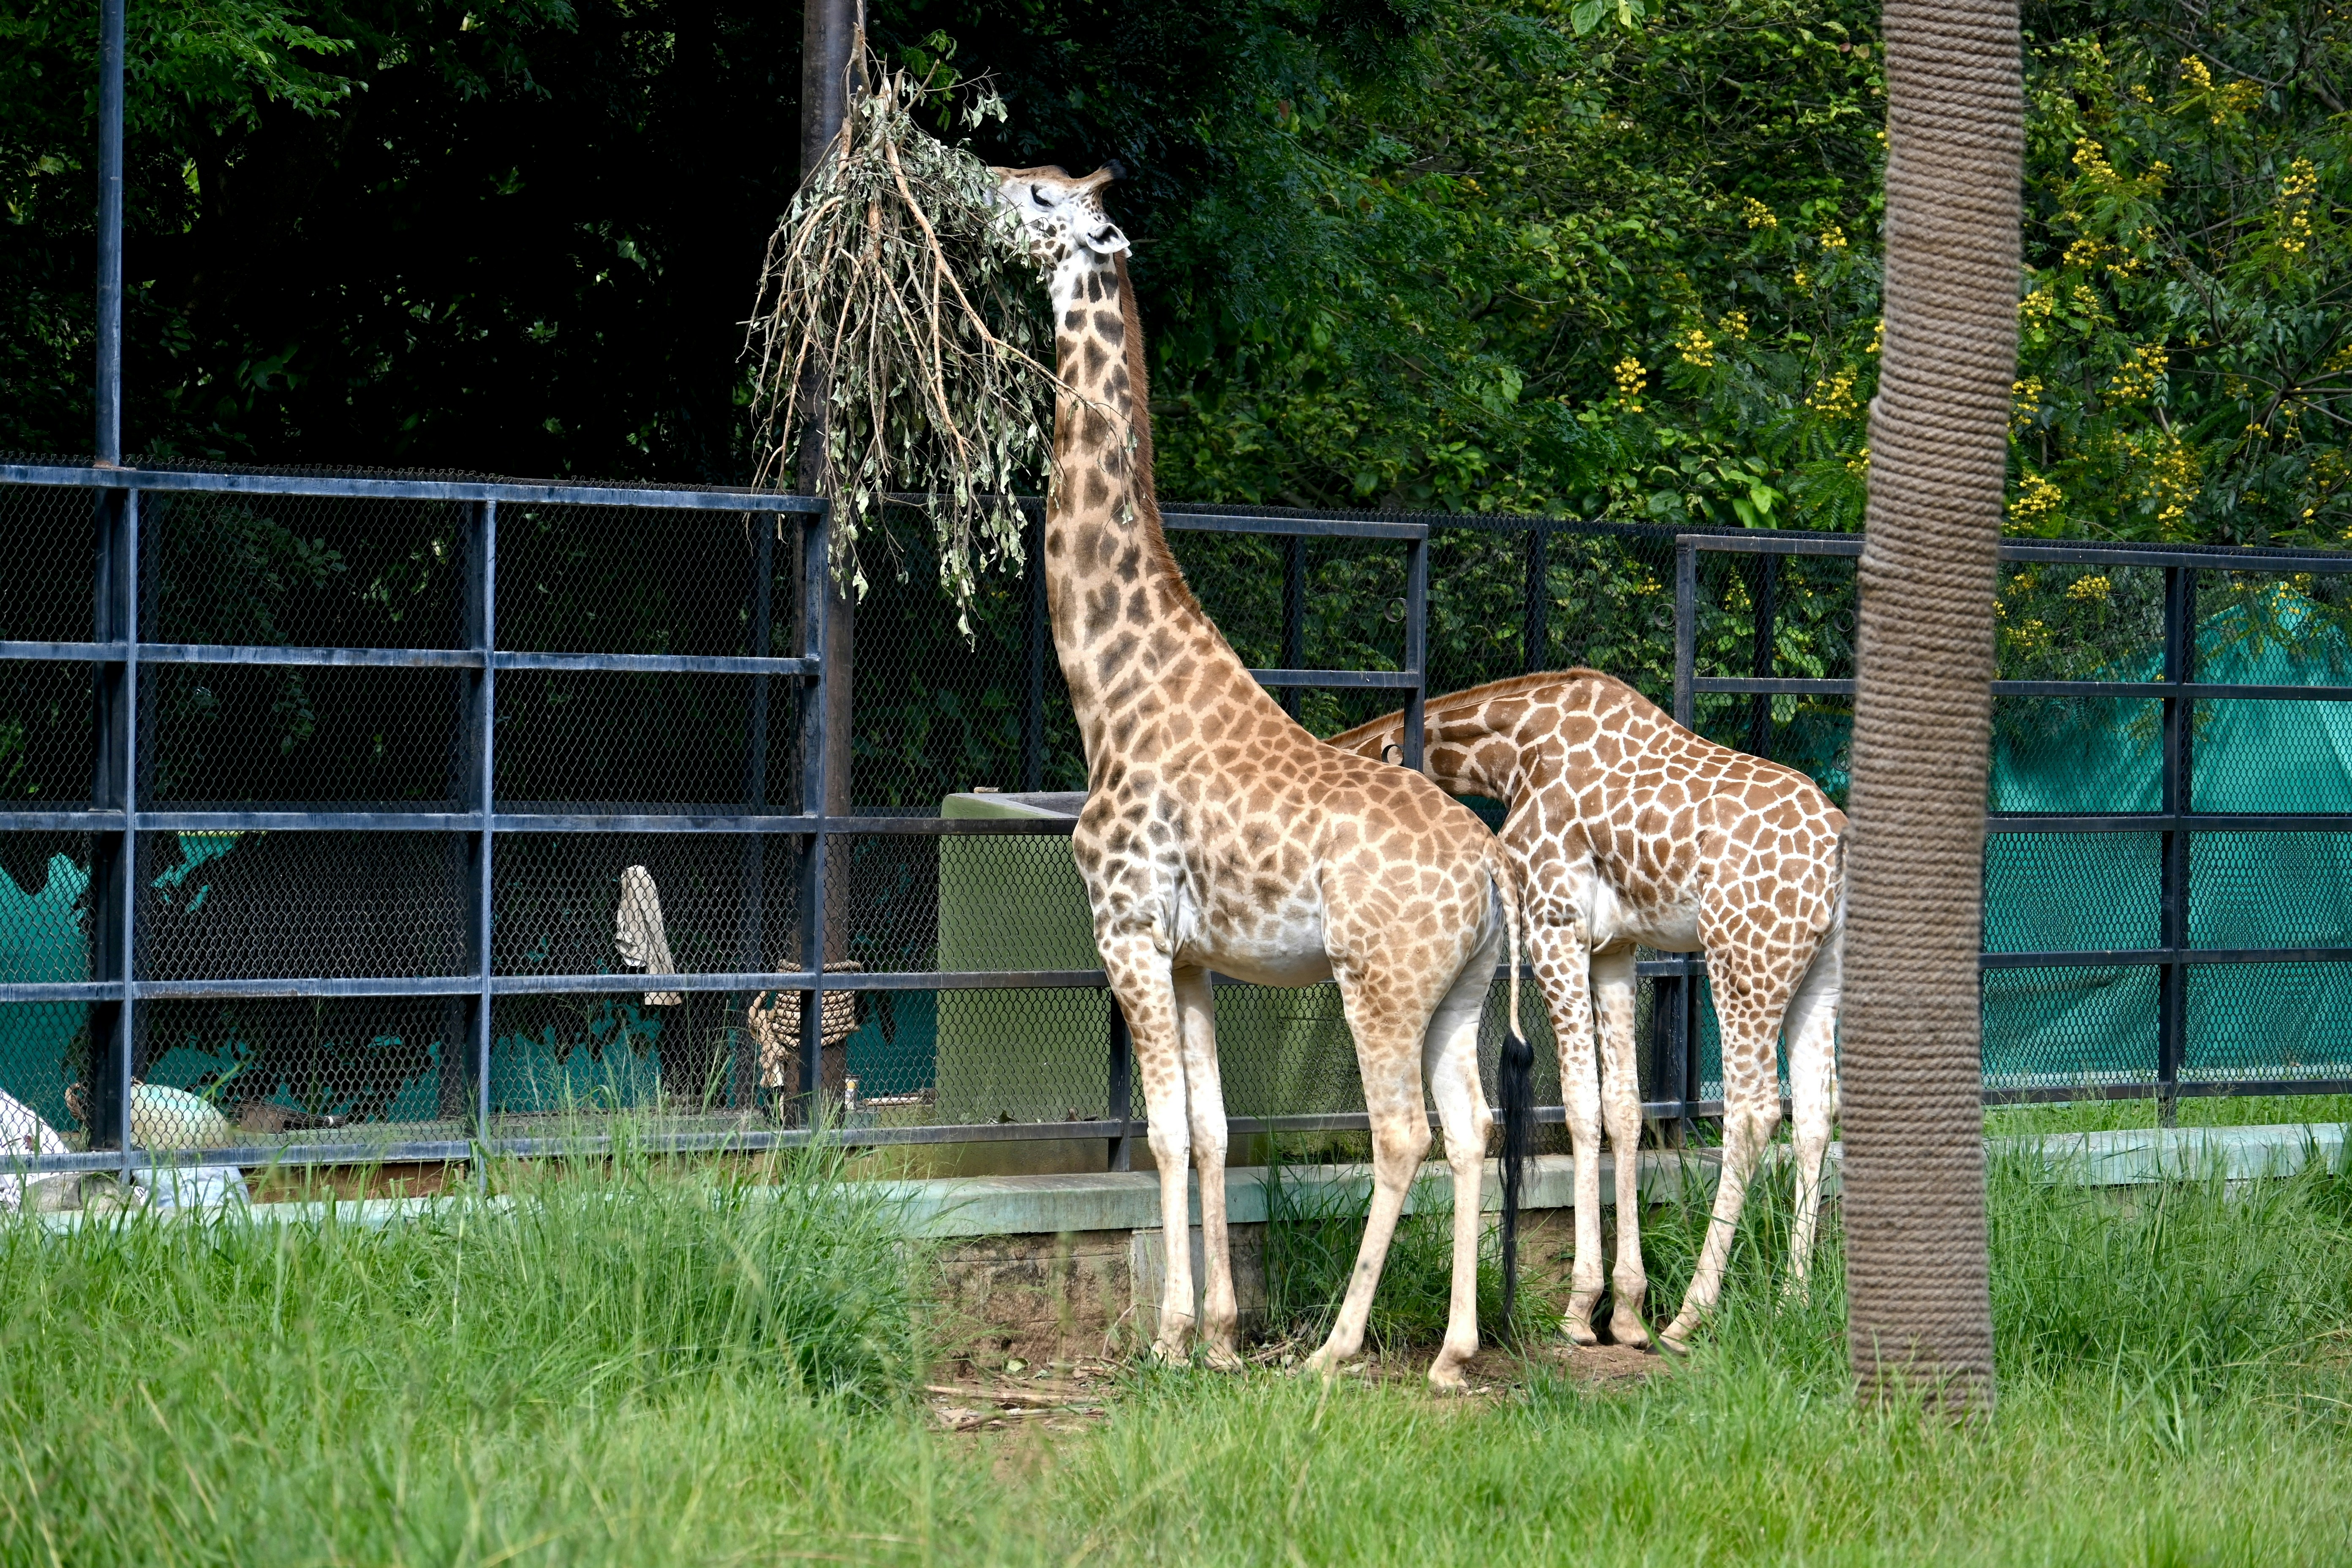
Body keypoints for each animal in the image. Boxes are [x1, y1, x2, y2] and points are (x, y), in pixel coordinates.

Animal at [991, 164, 1523, 1386]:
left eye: (1043, 194)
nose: (984, 187)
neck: (1109, 689)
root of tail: (1490, 873)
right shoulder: (1192, 955)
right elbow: (1212, 1130)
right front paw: (1222, 1333)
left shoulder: (1129, 932)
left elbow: (1161, 1130)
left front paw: (1171, 1335)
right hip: (1460, 990)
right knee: (1471, 1129)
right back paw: (1454, 1350)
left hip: (1379, 979)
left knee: (1403, 1133)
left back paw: (1339, 1345)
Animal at [1329, 669, 1845, 1351]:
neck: (1515, 753)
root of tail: (1837, 849)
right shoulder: (1616, 948)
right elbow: (1624, 1107)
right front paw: (1625, 1310)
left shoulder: (1555, 924)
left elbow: (1581, 1107)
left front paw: (1579, 1310)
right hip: (1819, 971)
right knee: (1814, 1115)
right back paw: (1794, 1300)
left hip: (1745, 960)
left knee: (1755, 1113)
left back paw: (1692, 1315)